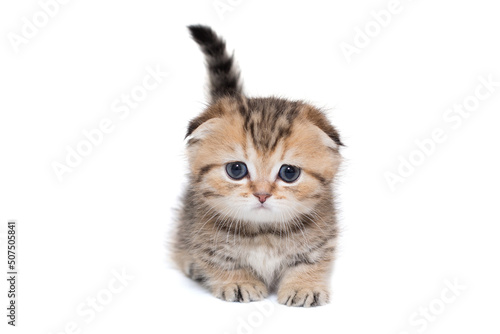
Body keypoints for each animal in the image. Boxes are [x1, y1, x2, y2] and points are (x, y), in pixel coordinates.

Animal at [173, 25, 344, 308]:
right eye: (236, 170)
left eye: (289, 173)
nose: (262, 194)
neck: (264, 233)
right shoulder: (203, 235)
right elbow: (221, 261)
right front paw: (239, 282)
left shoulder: (322, 237)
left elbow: (312, 262)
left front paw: (304, 286)